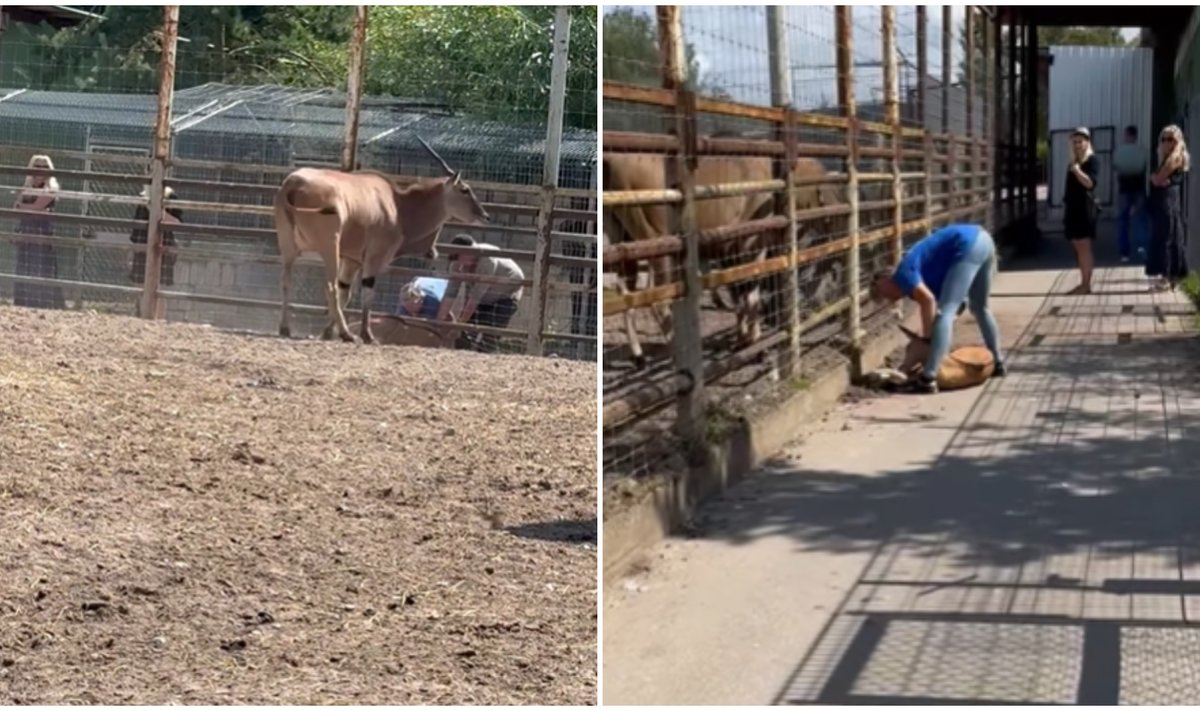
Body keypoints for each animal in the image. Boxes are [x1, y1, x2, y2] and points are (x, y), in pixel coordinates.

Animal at [274, 138, 489, 343]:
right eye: (464, 189)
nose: (484, 215)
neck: (397, 204)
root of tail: (292, 184)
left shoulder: (351, 261)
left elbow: (346, 293)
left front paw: (326, 332)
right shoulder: (374, 257)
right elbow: (366, 292)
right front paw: (366, 335)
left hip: (289, 250)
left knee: (287, 282)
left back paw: (285, 328)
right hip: (329, 249)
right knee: (330, 288)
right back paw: (347, 334)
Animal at [604, 153, 840, 369]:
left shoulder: (730, 253)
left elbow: (739, 294)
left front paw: (743, 339)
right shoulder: (751, 245)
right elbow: (750, 294)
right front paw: (756, 346)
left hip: (626, 247)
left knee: (627, 296)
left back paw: (639, 356)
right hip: (661, 250)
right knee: (657, 301)